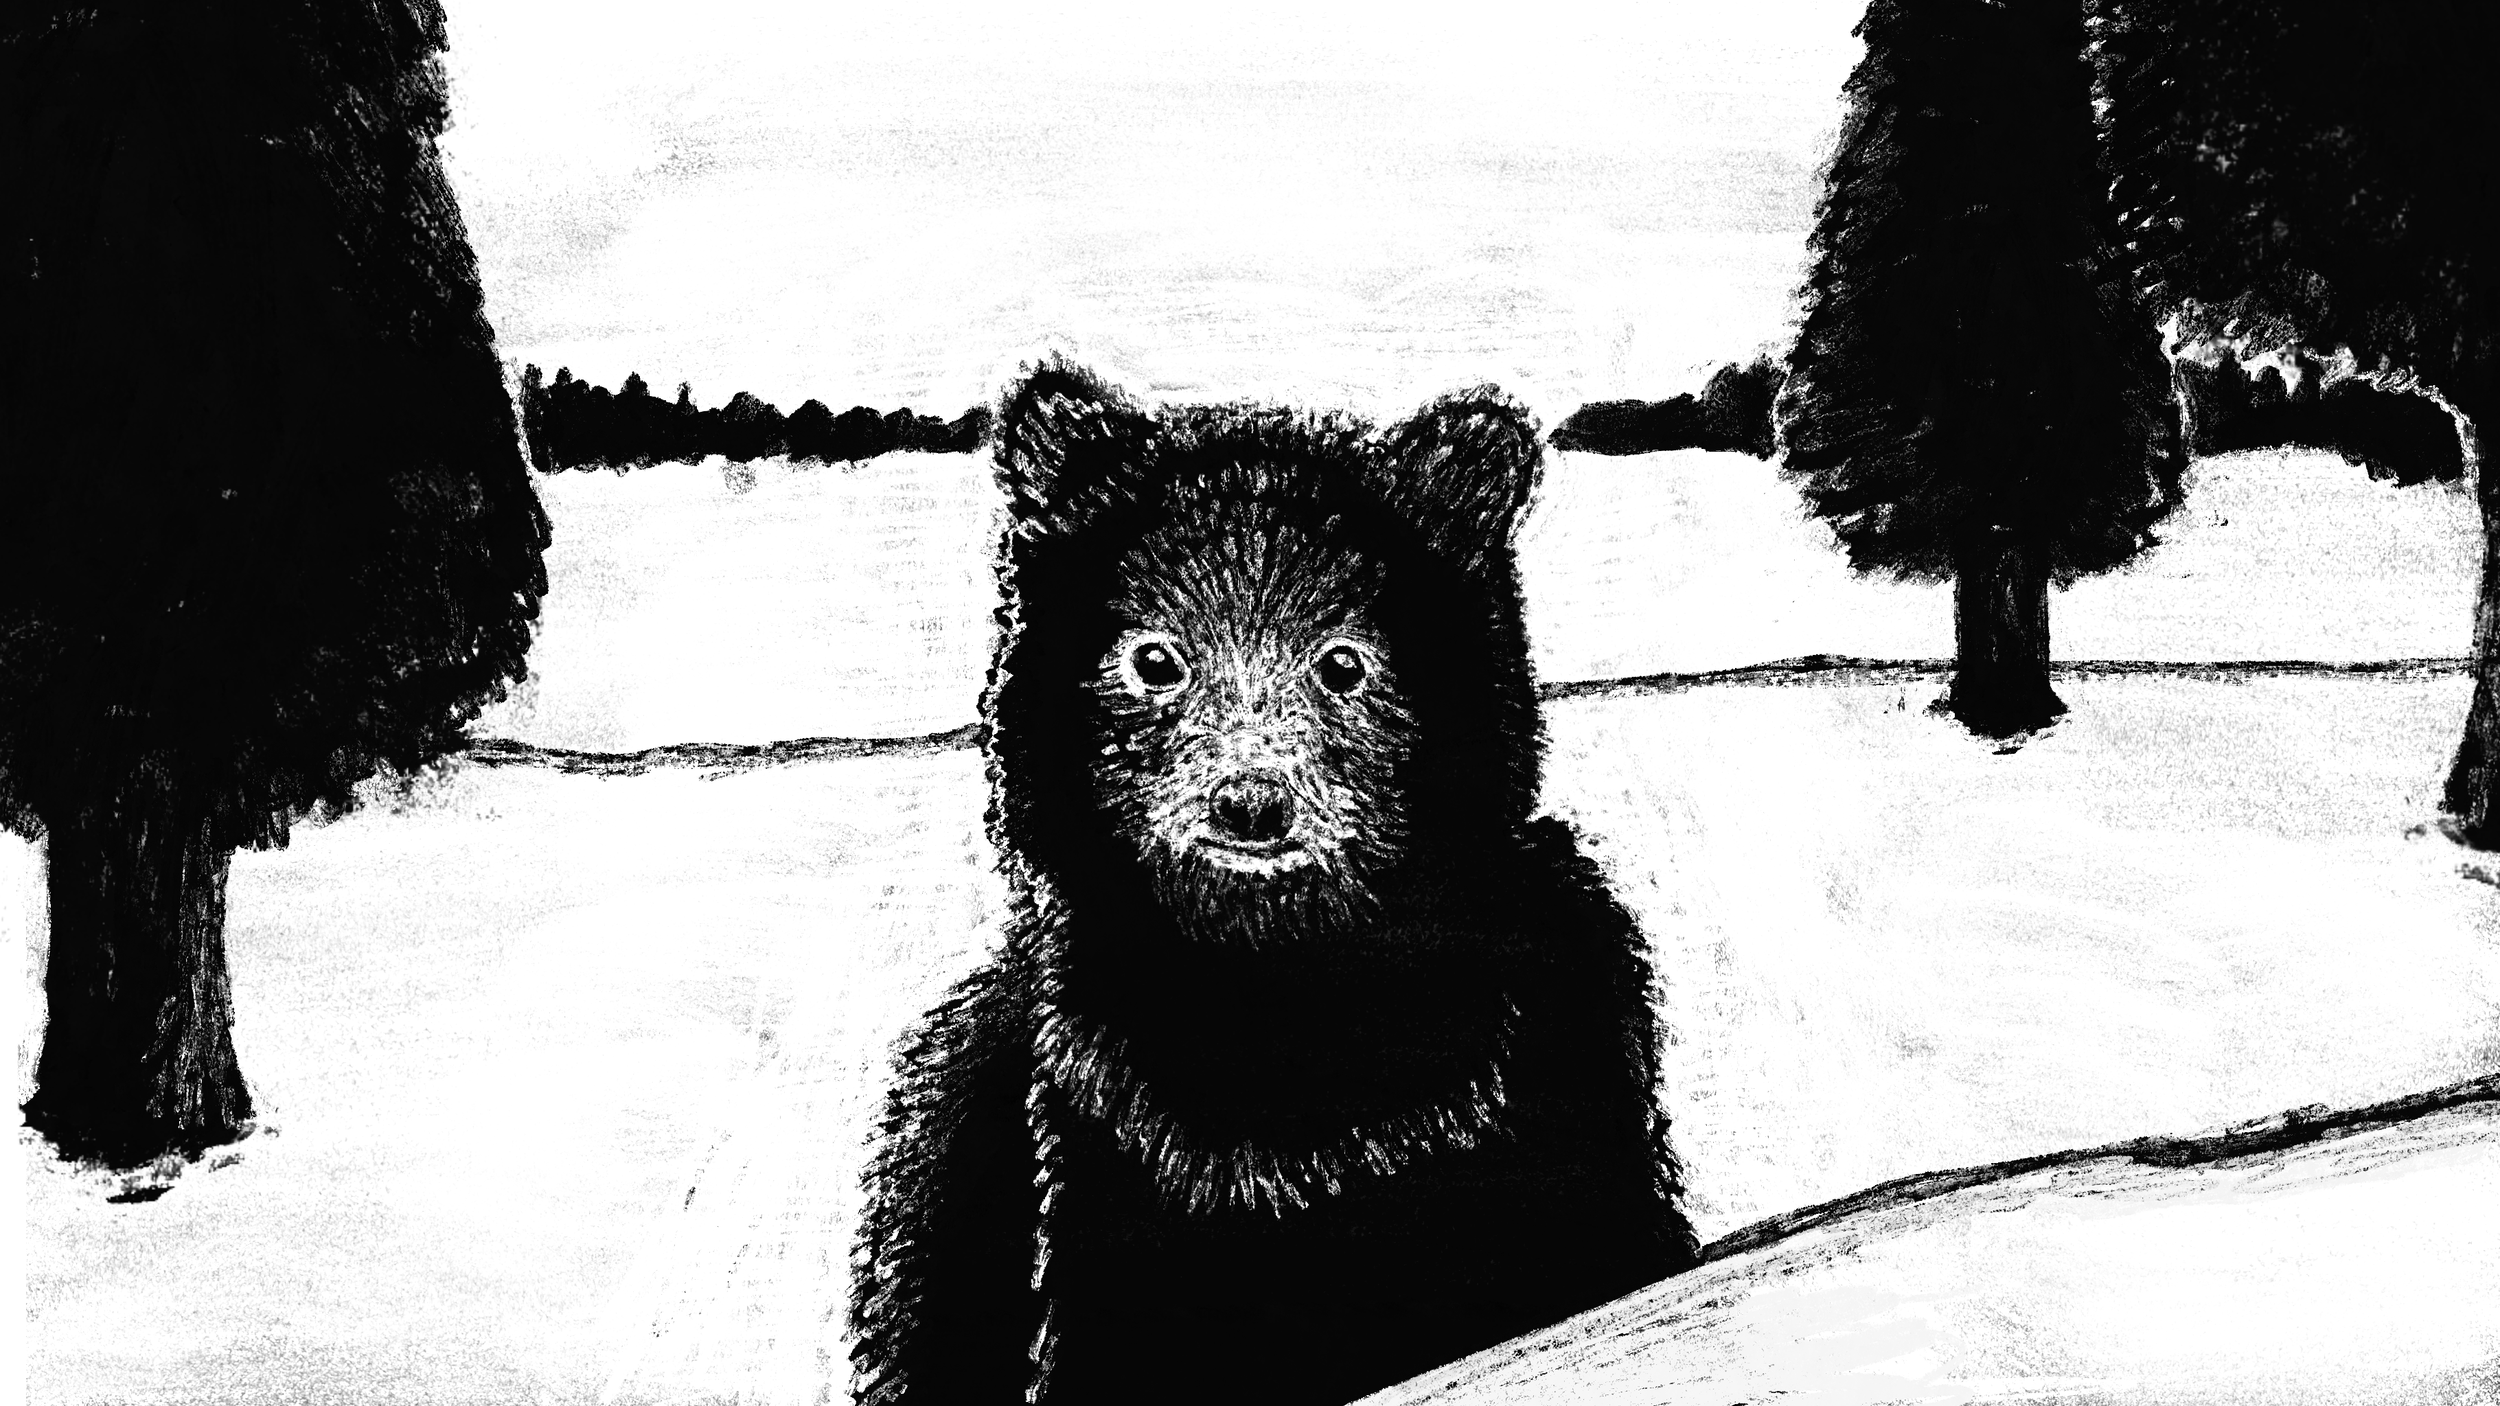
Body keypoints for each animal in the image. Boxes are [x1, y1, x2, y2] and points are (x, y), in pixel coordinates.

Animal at [849, 360, 1698, 1406]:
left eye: (1343, 661)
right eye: (1155, 657)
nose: (1250, 801)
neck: (1282, 1007)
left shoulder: (1545, 1075)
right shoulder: (1104, 1141)